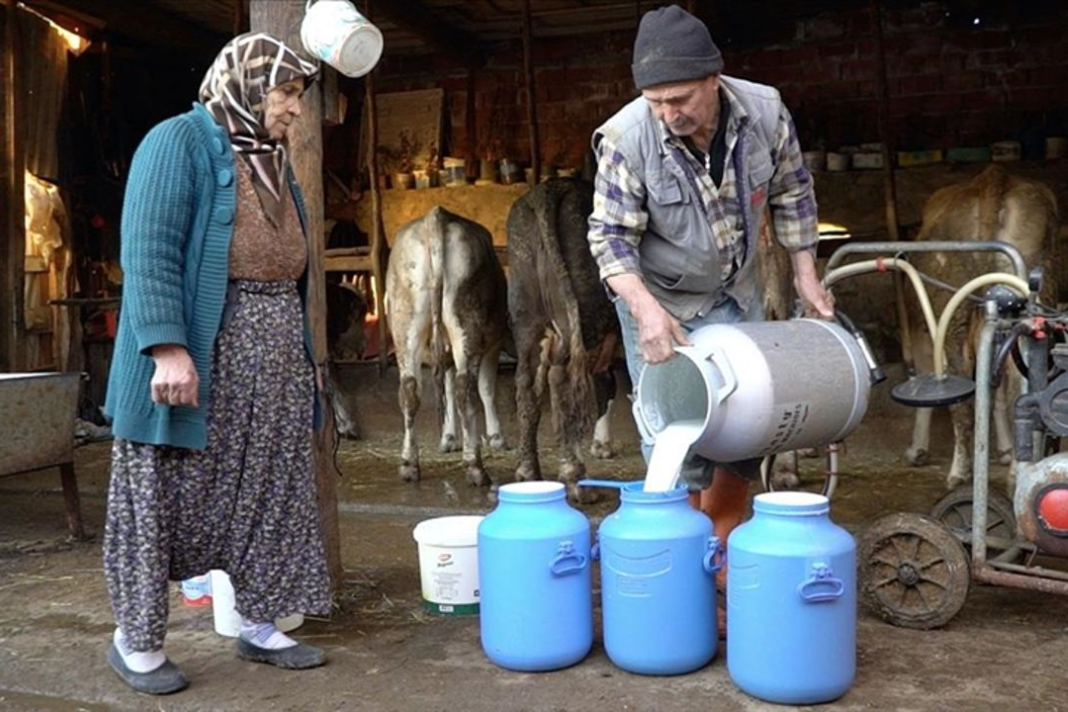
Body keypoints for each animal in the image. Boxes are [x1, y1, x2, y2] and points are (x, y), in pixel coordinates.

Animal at [384, 204, 508, 484]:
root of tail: (435, 215)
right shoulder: (493, 345)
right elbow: (487, 389)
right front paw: (496, 437)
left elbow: (447, 390)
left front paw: (448, 438)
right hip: (467, 324)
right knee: (466, 390)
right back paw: (474, 466)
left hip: (405, 323)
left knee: (409, 390)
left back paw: (409, 464)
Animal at [506, 178, 619, 501]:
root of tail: (550, 189)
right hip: (586, 317)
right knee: (564, 379)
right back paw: (575, 479)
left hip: (526, 317)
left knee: (528, 382)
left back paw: (528, 472)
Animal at [901, 166, 1059, 491]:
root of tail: (992, 177)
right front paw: (1005, 449)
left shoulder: (920, 328)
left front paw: (916, 449)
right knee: (1018, 377)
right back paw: (1014, 469)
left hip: (951, 309)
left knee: (962, 384)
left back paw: (960, 472)